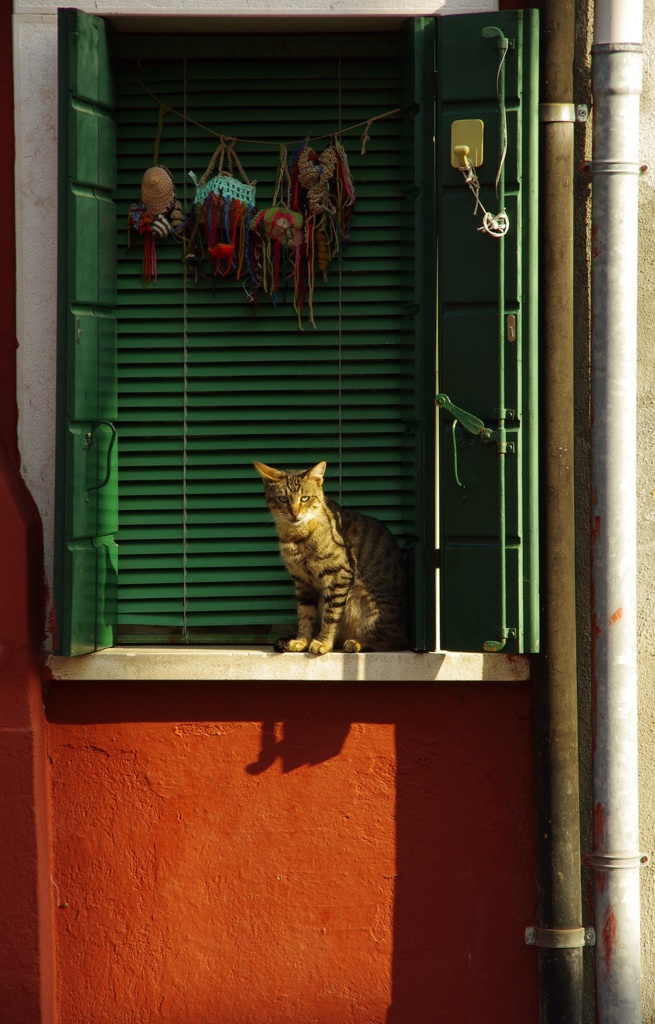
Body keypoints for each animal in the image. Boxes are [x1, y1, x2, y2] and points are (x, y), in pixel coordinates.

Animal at [253, 460, 407, 651]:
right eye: (283, 499)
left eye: (305, 498)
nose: (295, 513)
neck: (295, 537)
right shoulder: (302, 581)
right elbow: (305, 614)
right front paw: (301, 640)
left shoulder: (339, 575)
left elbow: (331, 614)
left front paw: (323, 642)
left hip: (366, 602)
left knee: (391, 641)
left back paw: (356, 643)